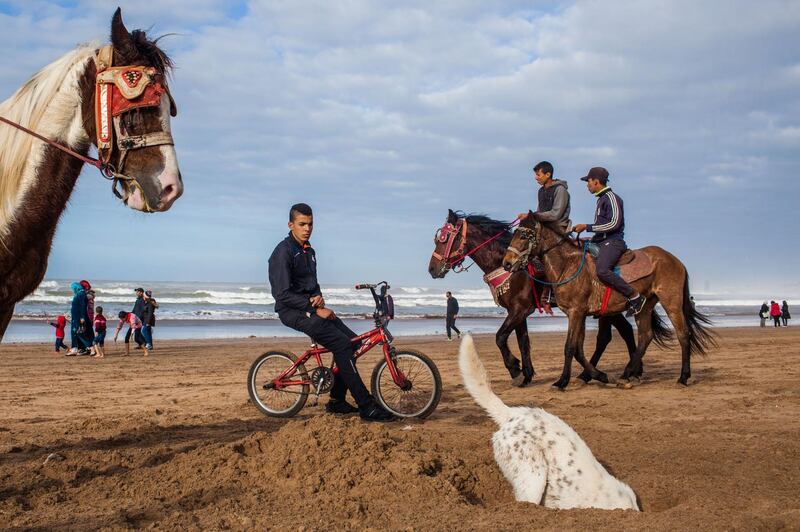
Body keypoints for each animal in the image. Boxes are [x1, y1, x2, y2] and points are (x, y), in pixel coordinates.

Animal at [504, 213, 716, 390]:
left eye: (524, 236)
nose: (506, 263)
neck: (567, 266)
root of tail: (676, 261)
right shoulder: (579, 314)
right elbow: (578, 349)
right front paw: (600, 376)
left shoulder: (576, 312)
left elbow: (570, 347)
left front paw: (562, 381)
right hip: (645, 306)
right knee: (645, 336)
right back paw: (626, 375)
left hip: (671, 302)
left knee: (683, 334)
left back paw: (682, 377)